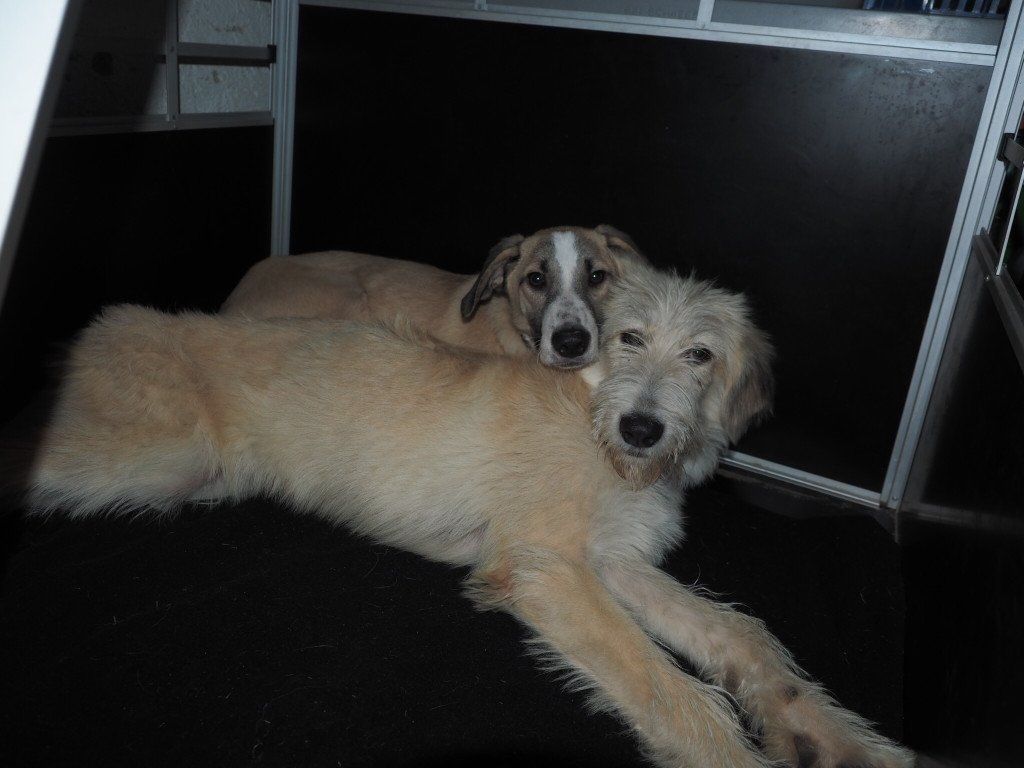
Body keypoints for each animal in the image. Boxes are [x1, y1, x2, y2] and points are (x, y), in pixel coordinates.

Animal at [24, 264, 912, 768]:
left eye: (701, 354)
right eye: (628, 337)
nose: (643, 430)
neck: (592, 415)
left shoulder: (616, 562)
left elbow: (739, 635)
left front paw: (833, 740)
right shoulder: (549, 567)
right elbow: (666, 686)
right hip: (144, 457)